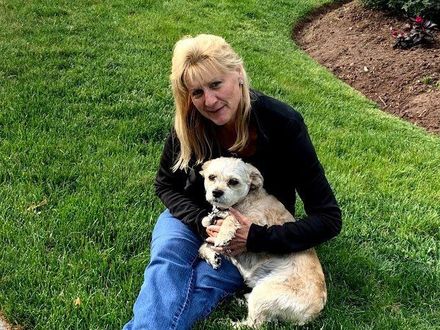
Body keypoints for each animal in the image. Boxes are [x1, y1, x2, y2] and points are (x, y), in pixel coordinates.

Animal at [199, 157, 326, 328]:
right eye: (211, 177)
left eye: (233, 181)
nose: (216, 192)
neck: (244, 201)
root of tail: (316, 310)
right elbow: (203, 245)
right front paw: (212, 256)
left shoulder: (255, 222)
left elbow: (232, 219)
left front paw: (223, 235)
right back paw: (242, 300)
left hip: (264, 295)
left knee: (254, 324)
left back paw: (228, 323)